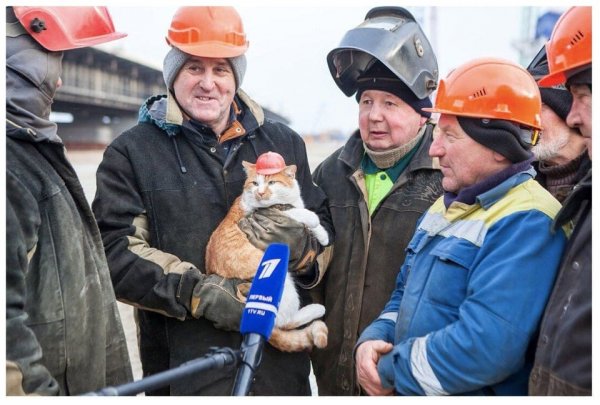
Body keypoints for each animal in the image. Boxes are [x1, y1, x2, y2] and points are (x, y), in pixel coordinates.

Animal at [206, 156, 328, 352]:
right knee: (282, 321)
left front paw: (323, 236)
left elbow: (309, 227)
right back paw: (316, 309)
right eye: (255, 183)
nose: (261, 192)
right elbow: (300, 213)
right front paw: (313, 218)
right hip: (276, 278)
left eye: (272, 182)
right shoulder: (277, 212)